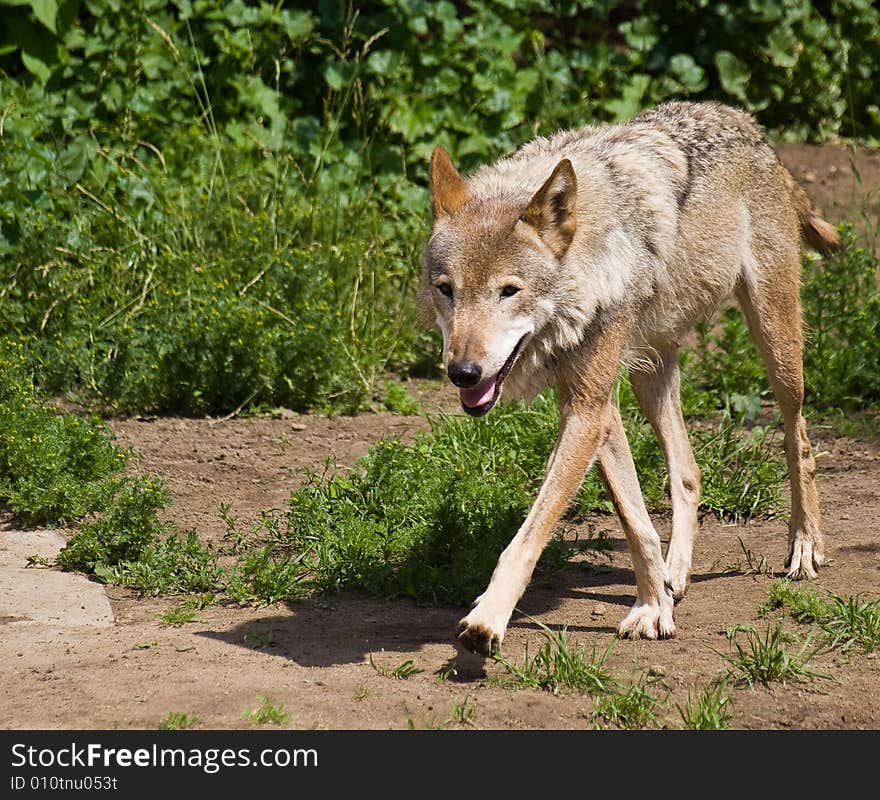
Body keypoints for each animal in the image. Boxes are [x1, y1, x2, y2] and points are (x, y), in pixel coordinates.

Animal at [420, 98, 840, 656]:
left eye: (509, 291)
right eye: (446, 289)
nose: (463, 373)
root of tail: (744, 121)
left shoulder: (589, 408)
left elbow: (529, 535)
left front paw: (488, 619)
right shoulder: (595, 407)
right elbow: (636, 519)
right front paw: (653, 605)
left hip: (775, 347)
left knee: (798, 438)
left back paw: (805, 546)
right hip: (648, 375)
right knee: (689, 470)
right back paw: (675, 575)